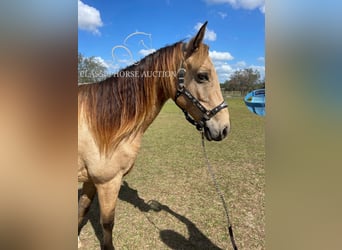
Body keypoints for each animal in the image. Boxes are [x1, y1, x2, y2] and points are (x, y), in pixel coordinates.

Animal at [78, 22, 230, 250]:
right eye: (203, 76)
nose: (224, 128)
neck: (103, 125)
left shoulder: (90, 181)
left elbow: (82, 211)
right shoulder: (107, 183)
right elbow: (107, 224)